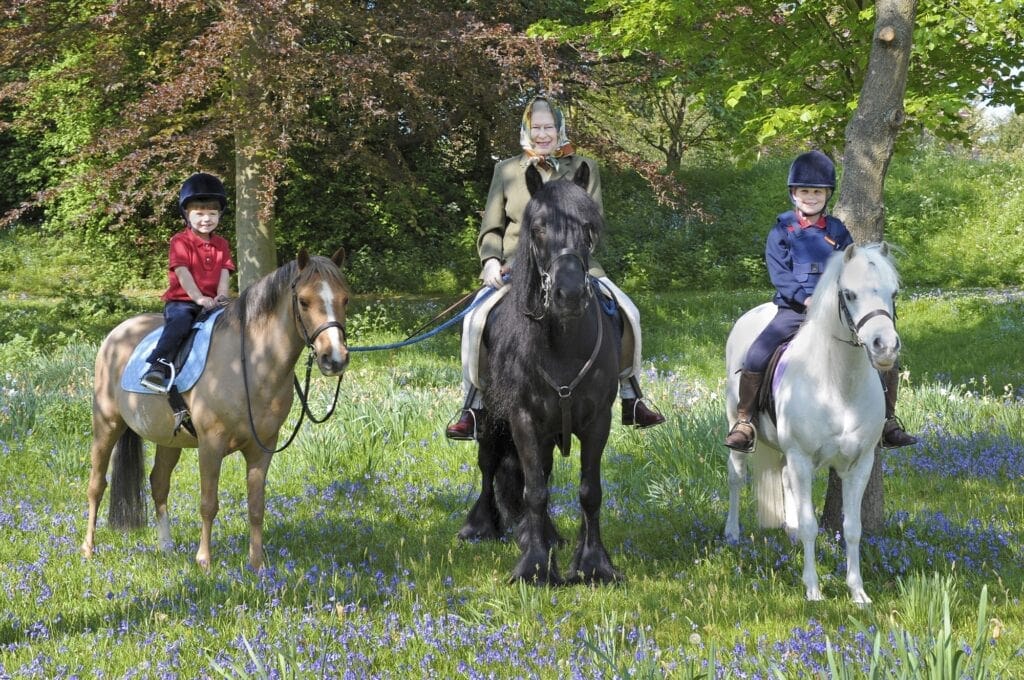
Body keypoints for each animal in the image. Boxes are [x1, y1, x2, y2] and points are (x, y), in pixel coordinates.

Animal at [81, 249, 350, 570]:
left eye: (345, 299)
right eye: (304, 301)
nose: (334, 359)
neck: (249, 363)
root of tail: (118, 333)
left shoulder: (262, 449)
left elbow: (256, 505)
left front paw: (257, 564)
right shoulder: (211, 444)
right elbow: (208, 504)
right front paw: (204, 561)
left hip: (168, 439)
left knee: (158, 483)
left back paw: (166, 546)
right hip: (106, 425)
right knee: (97, 485)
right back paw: (87, 549)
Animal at [458, 163, 622, 586]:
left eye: (588, 227)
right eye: (538, 228)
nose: (569, 294)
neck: (562, 342)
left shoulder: (598, 421)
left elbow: (589, 491)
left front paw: (593, 564)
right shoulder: (523, 419)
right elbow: (533, 490)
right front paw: (533, 566)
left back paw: (546, 535)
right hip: (492, 419)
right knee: (490, 465)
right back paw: (481, 526)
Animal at [723, 243, 900, 604]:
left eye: (893, 292)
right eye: (849, 294)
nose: (886, 347)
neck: (837, 383)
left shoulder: (860, 464)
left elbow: (853, 529)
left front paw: (857, 592)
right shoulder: (803, 459)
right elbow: (810, 526)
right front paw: (813, 589)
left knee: (784, 479)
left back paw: (788, 531)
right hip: (737, 424)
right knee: (736, 477)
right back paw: (732, 532)